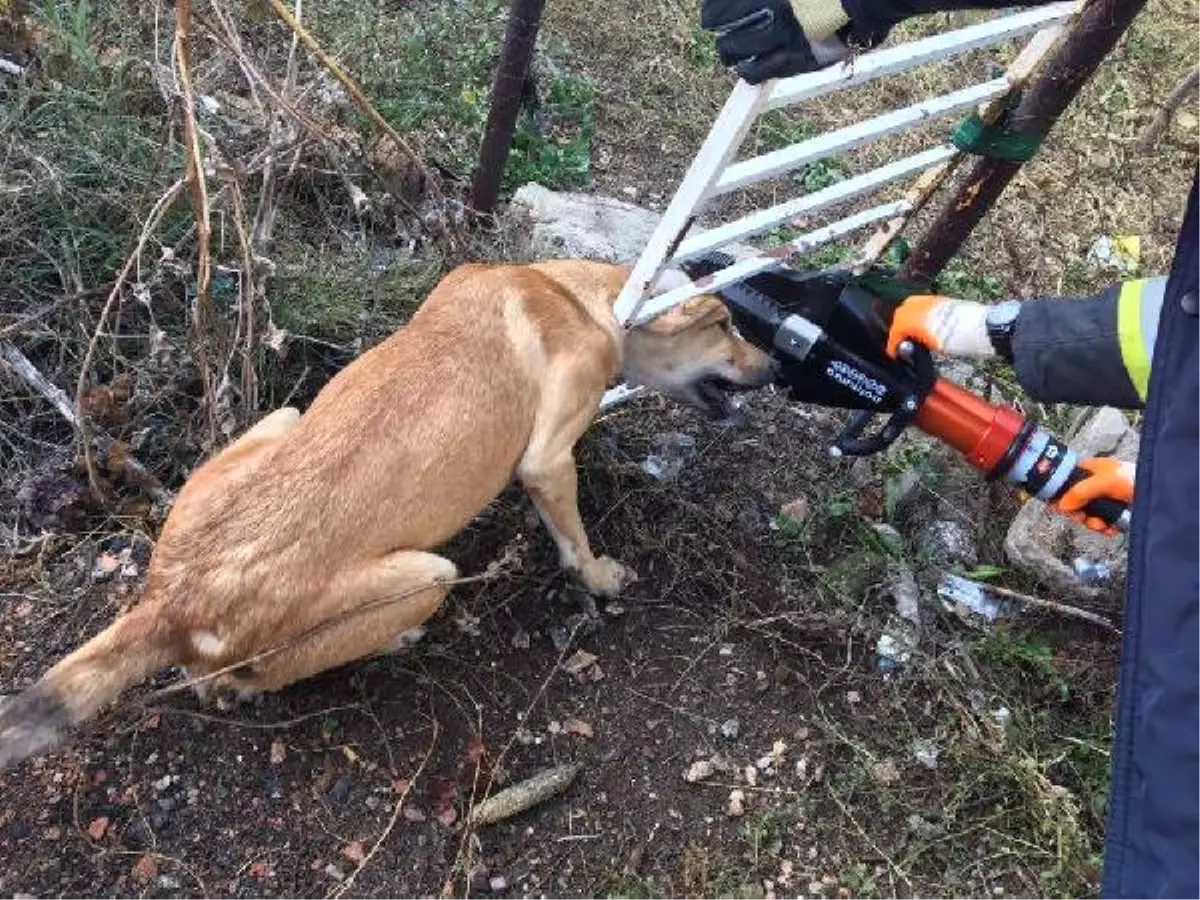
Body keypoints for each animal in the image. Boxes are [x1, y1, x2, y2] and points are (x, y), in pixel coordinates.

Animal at [0, 259, 772, 768]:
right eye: (726, 324)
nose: (773, 371)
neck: (575, 293)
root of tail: (177, 601)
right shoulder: (548, 460)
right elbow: (574, 537)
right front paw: (601, 577)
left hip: (282, 421)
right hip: (427, 576)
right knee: (234, 680)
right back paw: (382, 643)